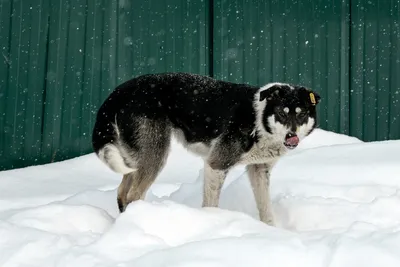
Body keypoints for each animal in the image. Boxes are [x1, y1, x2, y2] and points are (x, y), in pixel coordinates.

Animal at [92, 71, 320, 226]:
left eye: (301, 114)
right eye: (282, 113)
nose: (292, 137)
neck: (259, 120)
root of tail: (120, 91)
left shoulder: (259, 170)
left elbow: (266, 209)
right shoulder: (216, 164)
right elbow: (211, 203)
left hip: (135, 156)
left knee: (122, 192)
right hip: (155, 153)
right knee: (133, 195)